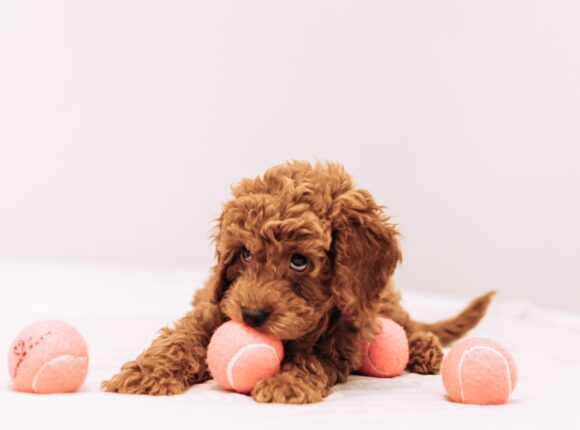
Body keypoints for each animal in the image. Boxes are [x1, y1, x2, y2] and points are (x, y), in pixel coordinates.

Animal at [102, 160, 492, 404]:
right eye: (245, 254)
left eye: (299, 261)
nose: (251, 316)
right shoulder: (213, 306)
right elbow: (181, 339)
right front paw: (145, 374)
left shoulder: (340, 337)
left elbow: (313, 358)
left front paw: (286, 382)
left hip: (379, 304)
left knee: (409, 326)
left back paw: (425, 350)